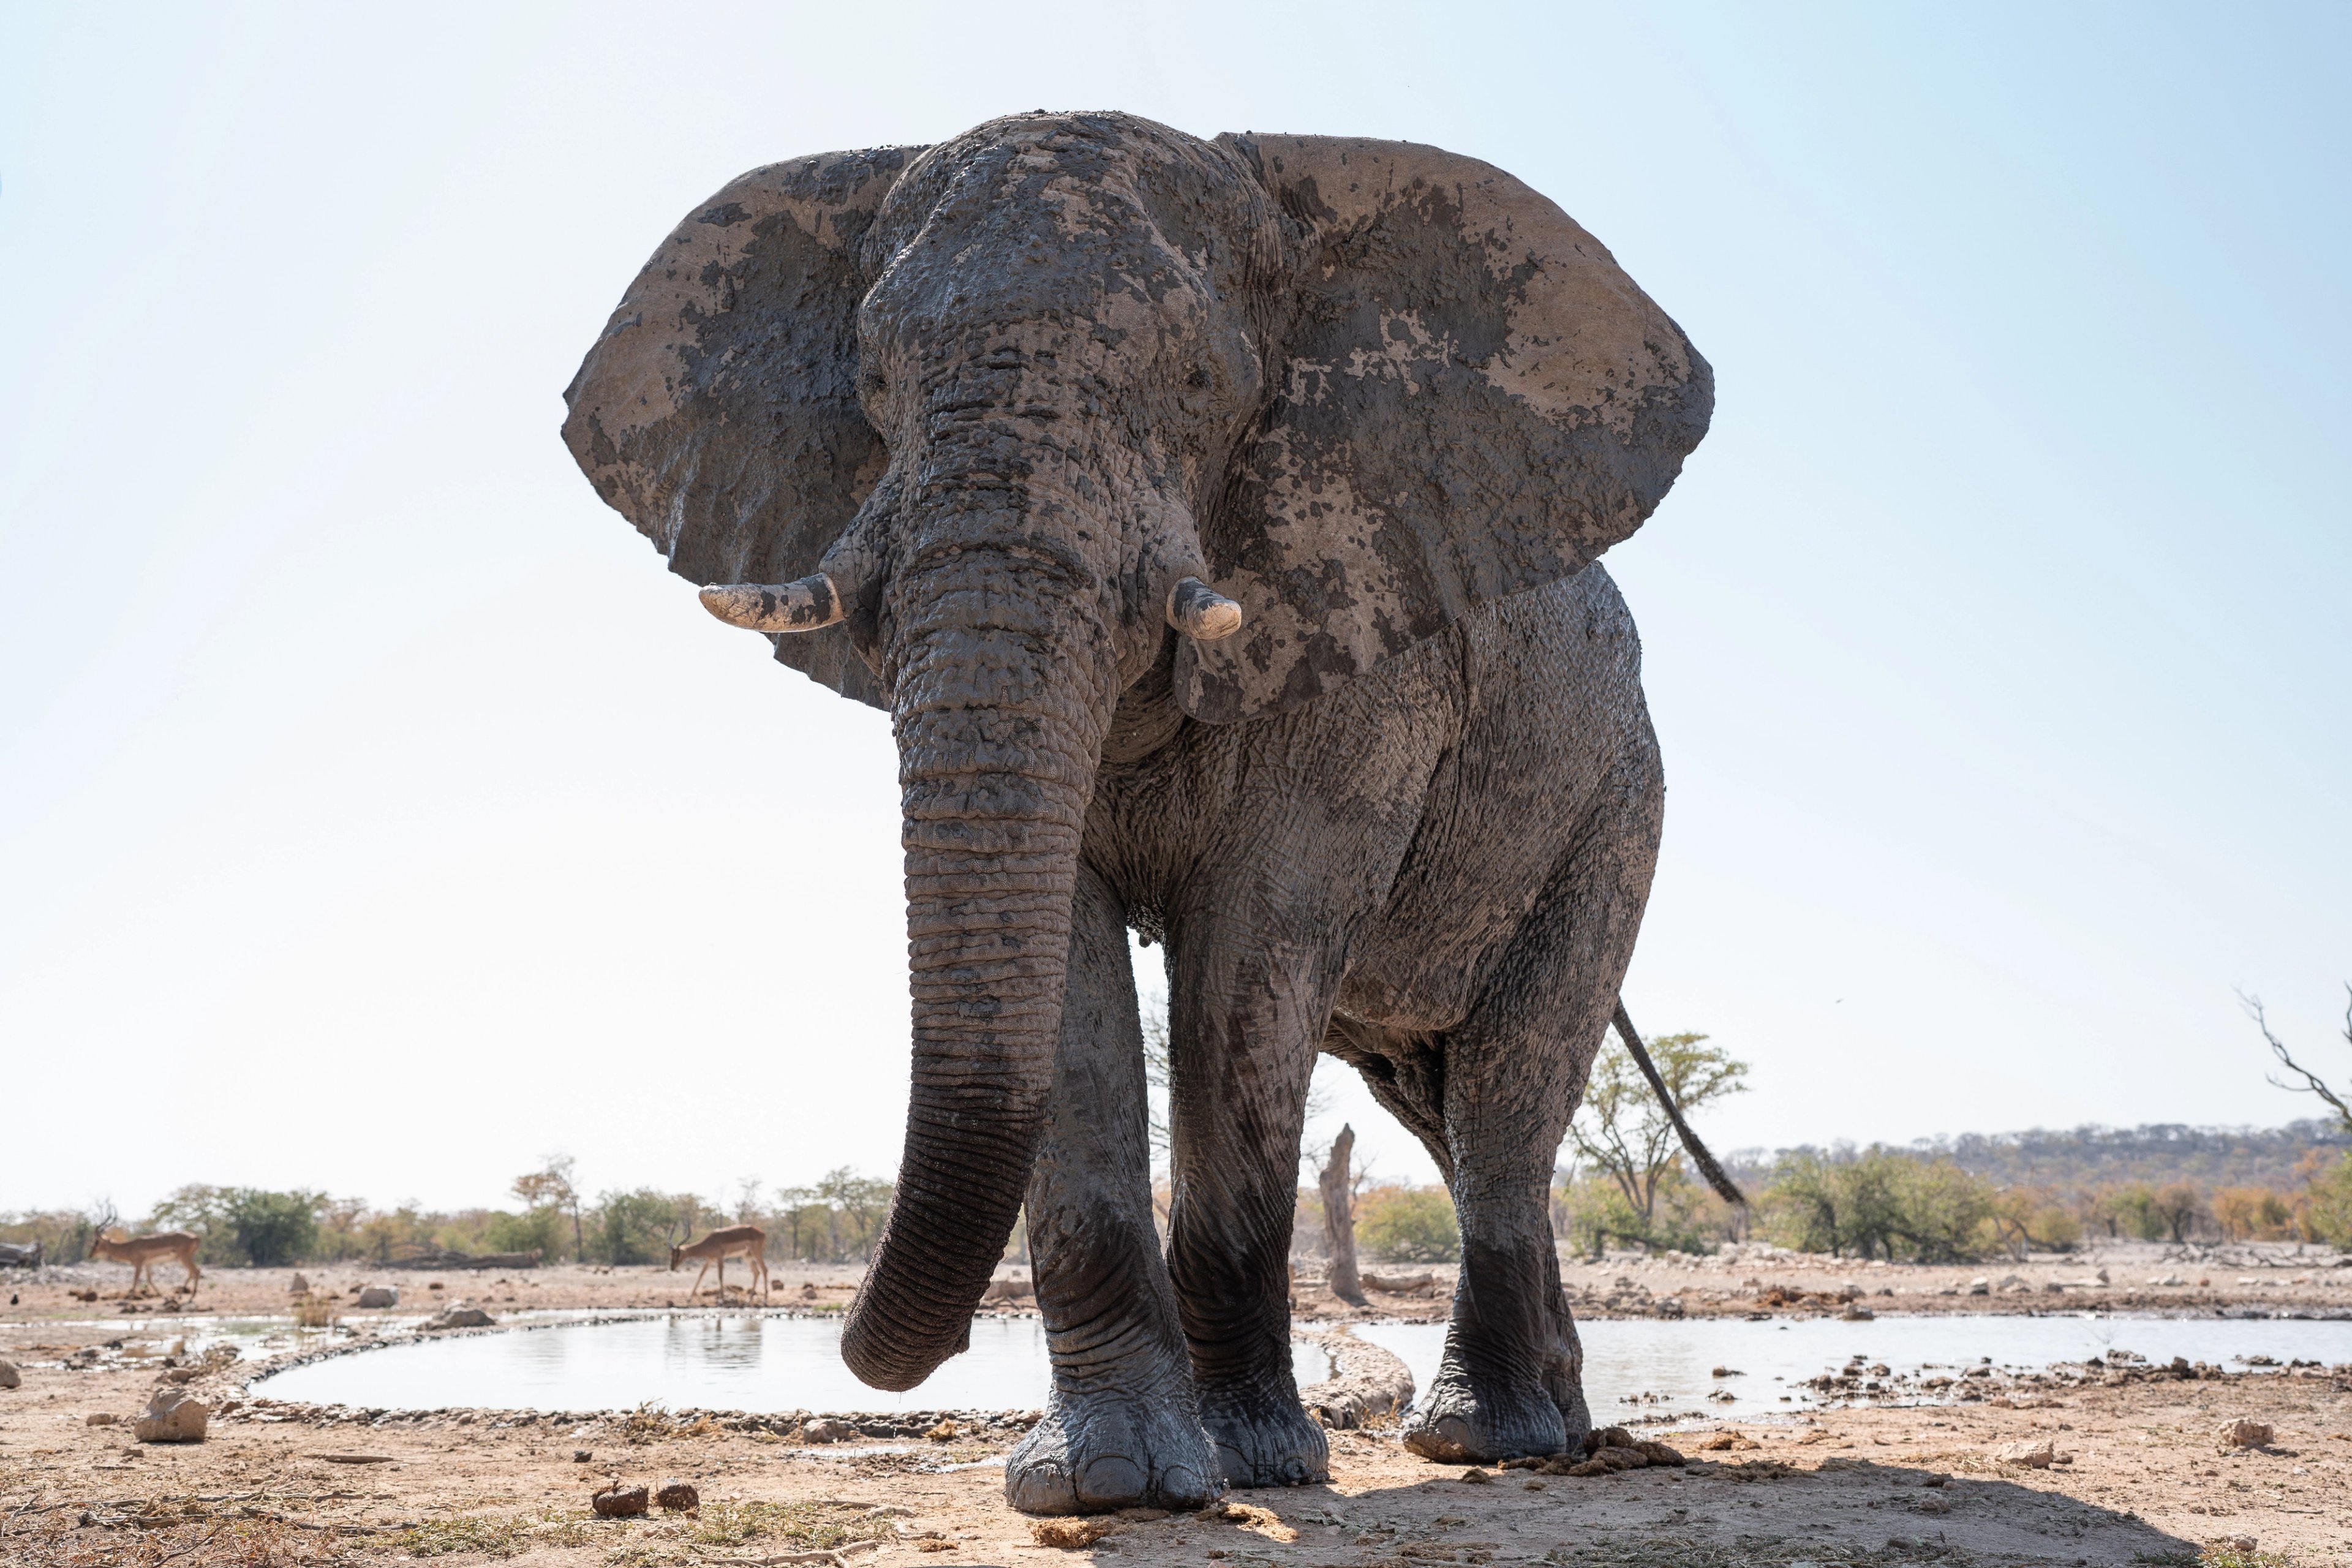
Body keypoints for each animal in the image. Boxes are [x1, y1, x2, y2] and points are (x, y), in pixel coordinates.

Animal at [562, 111, 1713, 1514]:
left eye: (1203, 382)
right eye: (874, 382)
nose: (880, 1343)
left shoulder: (1360, 647)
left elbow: (1248, 964)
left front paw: (1258, 1467)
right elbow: (1065, 967)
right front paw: (1104, 1482)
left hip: (1616, 805)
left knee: (1506, 1091)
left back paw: (1482, 1441)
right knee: (1440, 1106)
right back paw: (1556, 1420)